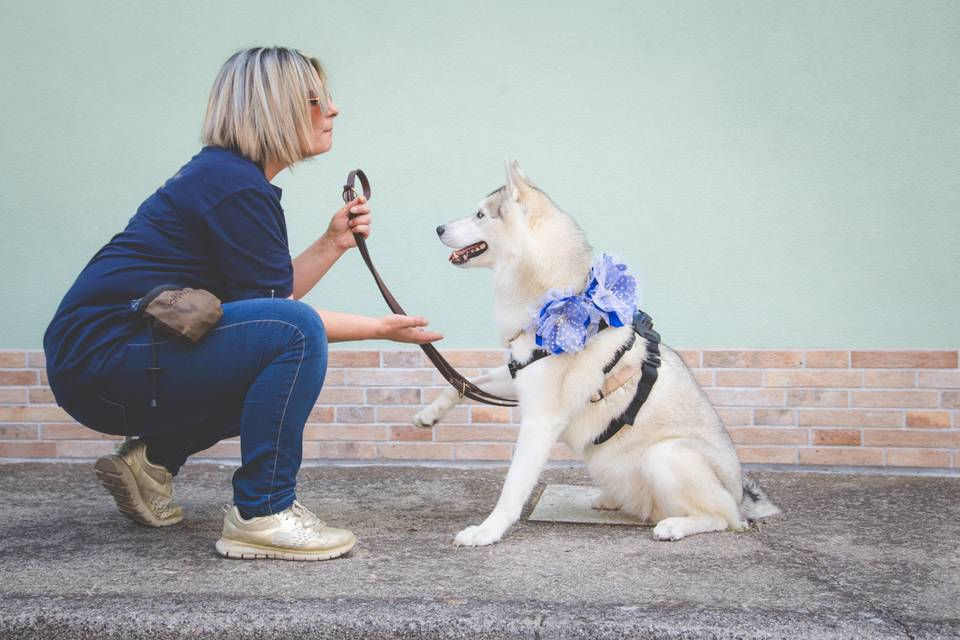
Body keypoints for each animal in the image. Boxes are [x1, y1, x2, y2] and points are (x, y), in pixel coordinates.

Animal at [412, 160, 780, 544]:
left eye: (480, 214)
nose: (438, 228)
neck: (556, 295)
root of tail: (740, 494)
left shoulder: (541, 418)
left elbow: (512, 486)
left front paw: (488, 530)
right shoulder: (520, 374)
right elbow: (465, 382)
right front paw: (429, 414)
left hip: (666, 456)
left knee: (724, 517)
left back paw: (677, 525)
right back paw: (613, 501)